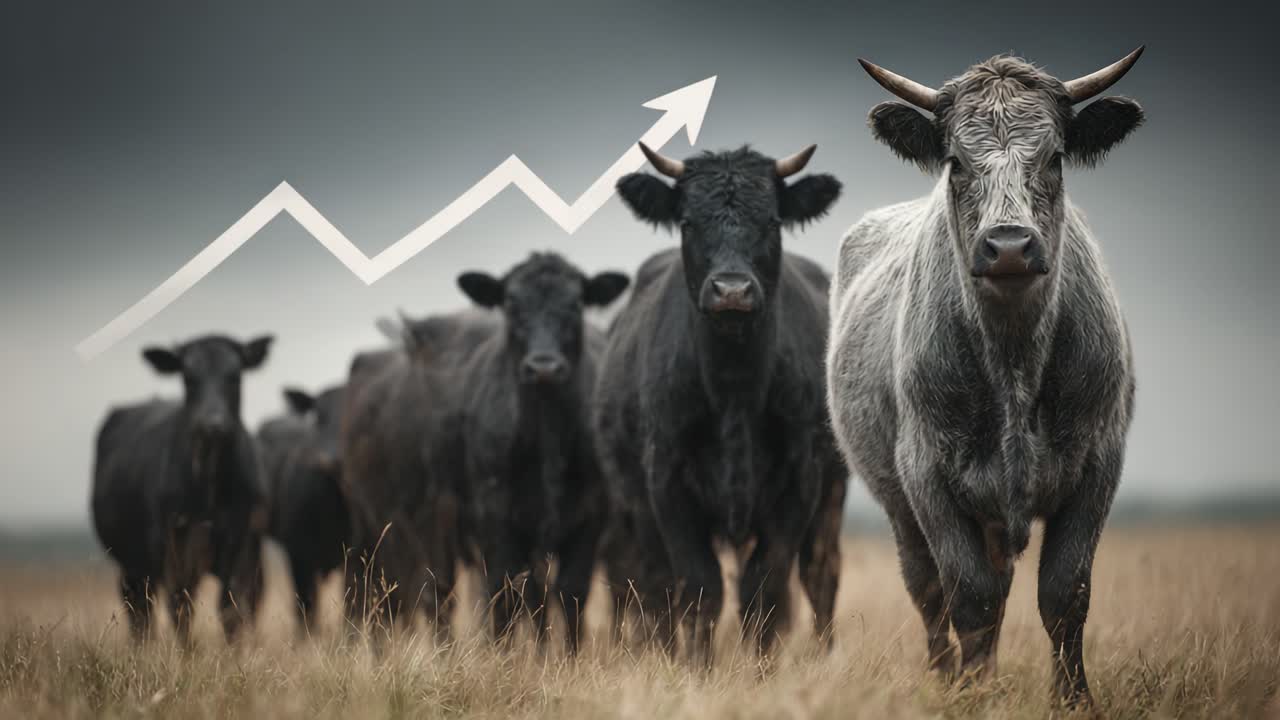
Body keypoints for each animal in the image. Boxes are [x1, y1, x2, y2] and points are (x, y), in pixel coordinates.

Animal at [91, 334, 273, 644]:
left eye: (234, 376)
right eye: (188, 377)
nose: (213, 424)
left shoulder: (240, 542)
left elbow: (231, 608)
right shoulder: (173, 544)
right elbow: (180, 608)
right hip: (132, 563)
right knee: (140, 609)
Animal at [452, 252, 629, 654]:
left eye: (576, 303)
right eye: (511, 304)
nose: (544, 366)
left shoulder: (590, 517)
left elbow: (572, 591)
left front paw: (570, 658)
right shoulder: (497, 517)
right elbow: (505, 591)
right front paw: (501, 658)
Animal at [595, 144, 847, 665]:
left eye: (772, 219)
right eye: (688, 221)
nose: (732, 290)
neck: (734, 389)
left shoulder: (800, 484)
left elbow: (765, 587)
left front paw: (762, 671)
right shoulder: (667, 484)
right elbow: (699, 586)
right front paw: (695, 668)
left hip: (833, 494)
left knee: (820, 575)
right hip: (635, 505)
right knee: (652, 583)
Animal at [826, 49, 1145, 705]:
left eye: (1054, 157)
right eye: (955, 162)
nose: (1009, 246)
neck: (1014, 361)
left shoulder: (1098, 464)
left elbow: (1064, 593)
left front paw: (1073, 700)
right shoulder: (927, 474)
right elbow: (967, 597)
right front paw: (970, 697)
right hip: (900, 505)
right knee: (929, 591)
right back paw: (952, 677)